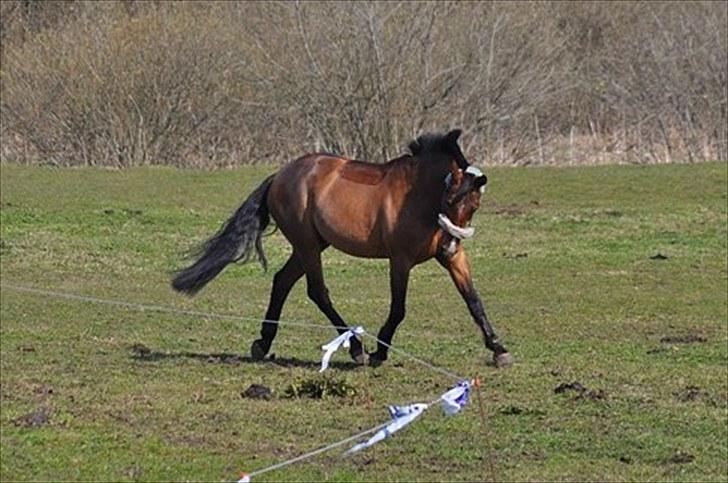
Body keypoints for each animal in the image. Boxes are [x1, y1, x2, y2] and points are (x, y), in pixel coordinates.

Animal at [172, 129, 512, 366]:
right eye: (452, 198)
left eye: (475, 205)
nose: (452, 243)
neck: (421, 198)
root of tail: (280, 174)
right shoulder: (400, 260)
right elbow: (398, 308)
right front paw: (379, 352)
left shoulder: (453, 259)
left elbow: (473, 300)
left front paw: (498, 348)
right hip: (308, 245)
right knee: (316, 291)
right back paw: (357, 348)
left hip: (311, 245)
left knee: (282, 281)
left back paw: (263, 342)